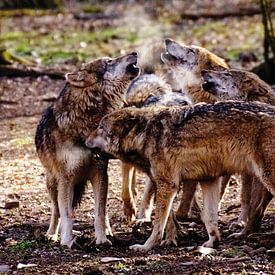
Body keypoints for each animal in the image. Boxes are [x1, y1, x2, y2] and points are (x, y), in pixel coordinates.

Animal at [35, 52, 140, 248]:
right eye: (109, 62)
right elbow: (67, 215)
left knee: (104, 212)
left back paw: (108, 232)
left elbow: (100, 213)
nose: (134, 52)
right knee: (56, 210)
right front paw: (66, 241)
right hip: (52, 183)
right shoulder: (66, 179)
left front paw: (102, 239)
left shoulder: (100, 173)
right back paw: (51, 234)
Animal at [85, 101, 275, 252]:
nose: (85, 141)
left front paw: (146, 247)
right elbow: (209, 217)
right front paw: (213, 242)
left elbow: (158, 224)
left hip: (267, 178)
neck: (146, 135)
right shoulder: (209, 180)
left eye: (100, 128)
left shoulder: (168, 184)